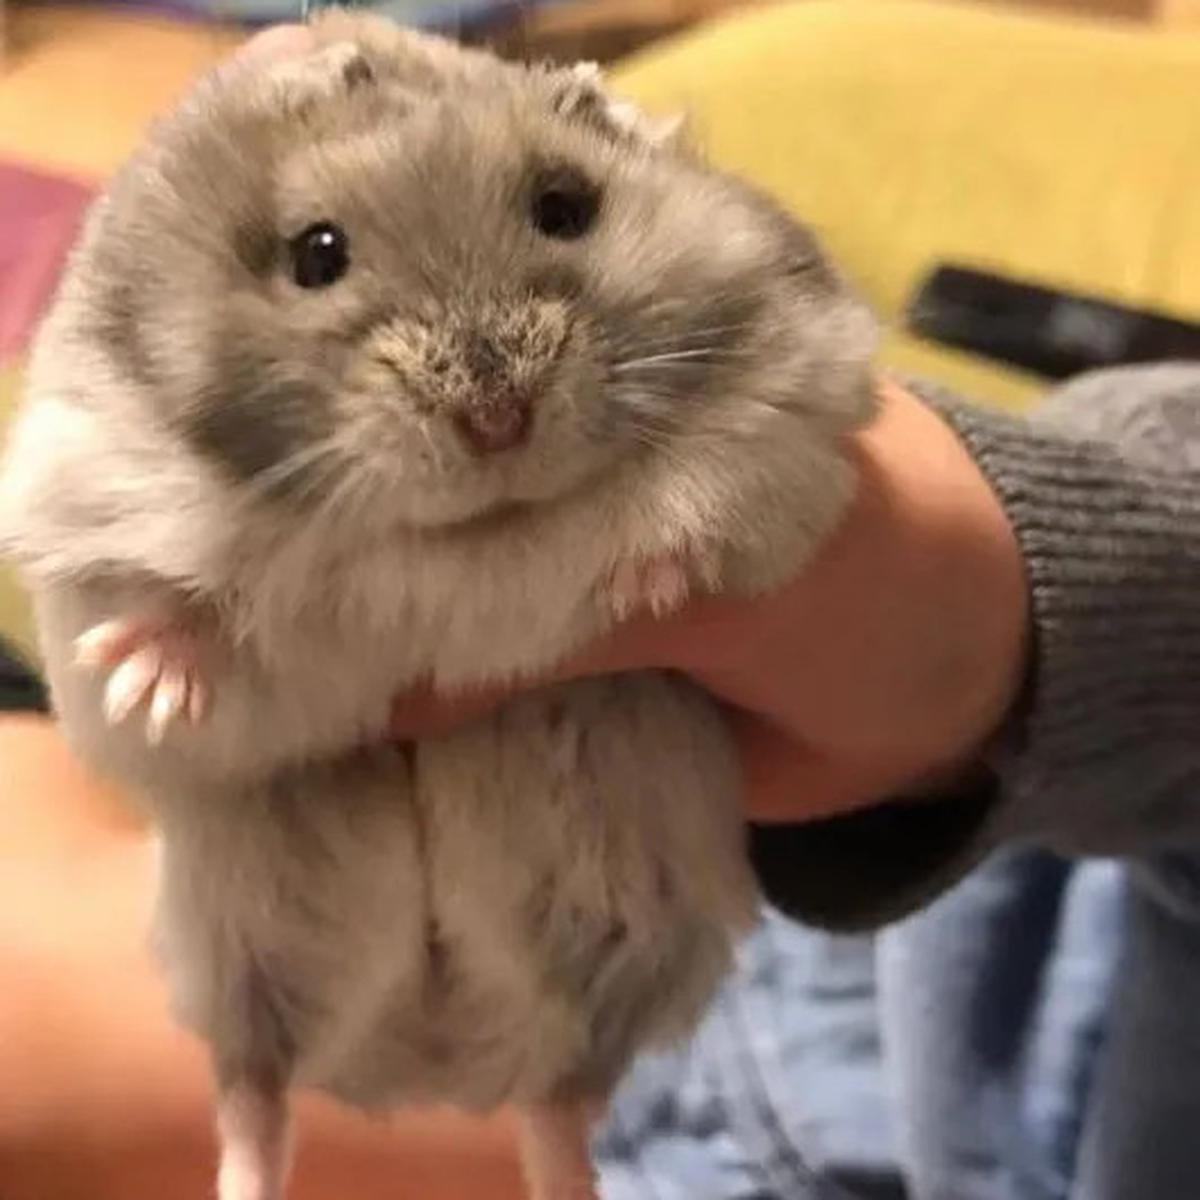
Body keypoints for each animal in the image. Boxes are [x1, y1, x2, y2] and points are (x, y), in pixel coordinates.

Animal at [0, 13, 877, 1200]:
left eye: (566, 206)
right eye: (317, 254)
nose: (497, 418)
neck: (461, 535)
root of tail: (426, 1071)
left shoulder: (790, 414)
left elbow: (699, 499)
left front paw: (647, 584)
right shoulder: (82, 480)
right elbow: (162, 598)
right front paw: (147, 681)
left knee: (558, 1108)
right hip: (232, 954)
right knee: (254, 1095)